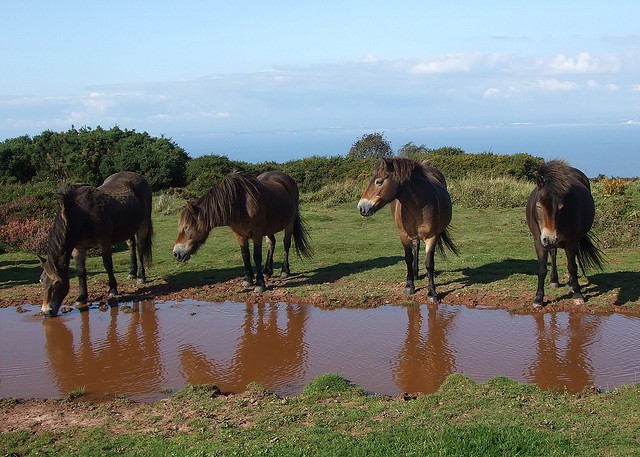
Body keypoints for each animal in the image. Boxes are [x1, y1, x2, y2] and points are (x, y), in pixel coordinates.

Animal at [40, 171, 155, 318]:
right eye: (42, 281)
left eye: (57, 282)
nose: (46, 311)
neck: (83, 216)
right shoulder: (78, 249)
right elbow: (80, 271)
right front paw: (81, 297)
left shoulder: (104, 242)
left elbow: (107, 265)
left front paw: (112, 289)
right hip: (128, 228)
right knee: (131, 246)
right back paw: (132, 273)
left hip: (143, 225)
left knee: (140, 248)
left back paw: (140, 277)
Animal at [172, 171, 312, 292]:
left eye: (187, 227)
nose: (176, 253)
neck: (241, 204)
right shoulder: (239, 234)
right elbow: (245, 255)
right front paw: (248, 279)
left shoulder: (257, 233)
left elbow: (256, 256)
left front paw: (260, 284)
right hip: (269, 228)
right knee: (271, 243)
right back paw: (267, 271)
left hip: (290, 223)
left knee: (286, 244)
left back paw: (284, 271)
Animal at [358, 157, 458, 300]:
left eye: (379, 181)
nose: (361, 207)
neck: (418, 206)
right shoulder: (403, 235)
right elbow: (408, 258)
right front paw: (409, 286)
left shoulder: (431, 237)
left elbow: (429, 263)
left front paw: (432, 292)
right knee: (415, 246)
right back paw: (415, 274)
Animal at [524, 159, 604, 308]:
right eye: (538, 206)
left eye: (561, 207)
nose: (549, 238)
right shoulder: (539, 241)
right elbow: (542, 269)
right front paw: (538, 299)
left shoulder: (571, 242)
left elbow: (572, 267)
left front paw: (577, 295)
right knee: (553, 253)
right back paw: (554, 281)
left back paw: (572, 285)